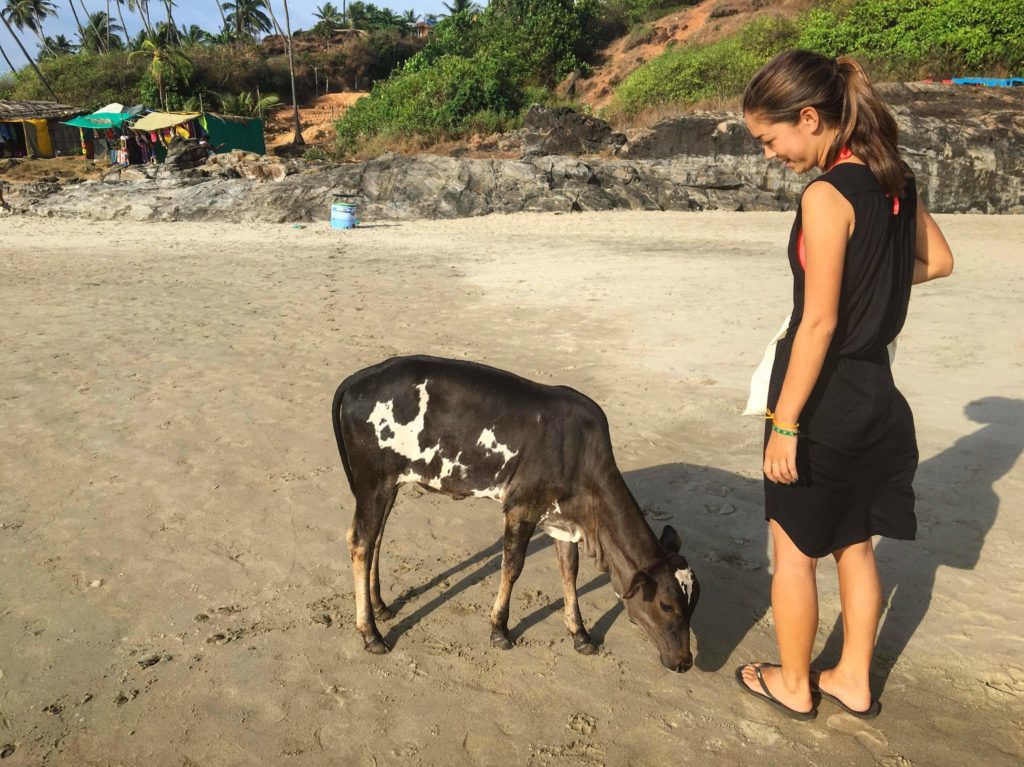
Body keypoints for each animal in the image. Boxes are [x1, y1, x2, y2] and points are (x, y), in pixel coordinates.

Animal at [331, 354, 700, 671]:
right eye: (667, 605)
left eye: (693, 604)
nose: (684, 662)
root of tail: (361, 377)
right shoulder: (520, 508)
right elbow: (512, 567)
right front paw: (500, 629)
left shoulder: (561, 521)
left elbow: (569, 572)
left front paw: (579, 633)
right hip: (373, 482)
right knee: (360, 541)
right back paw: (370, 632)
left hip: (388, 485)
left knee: (376, 538)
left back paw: (380, 606)